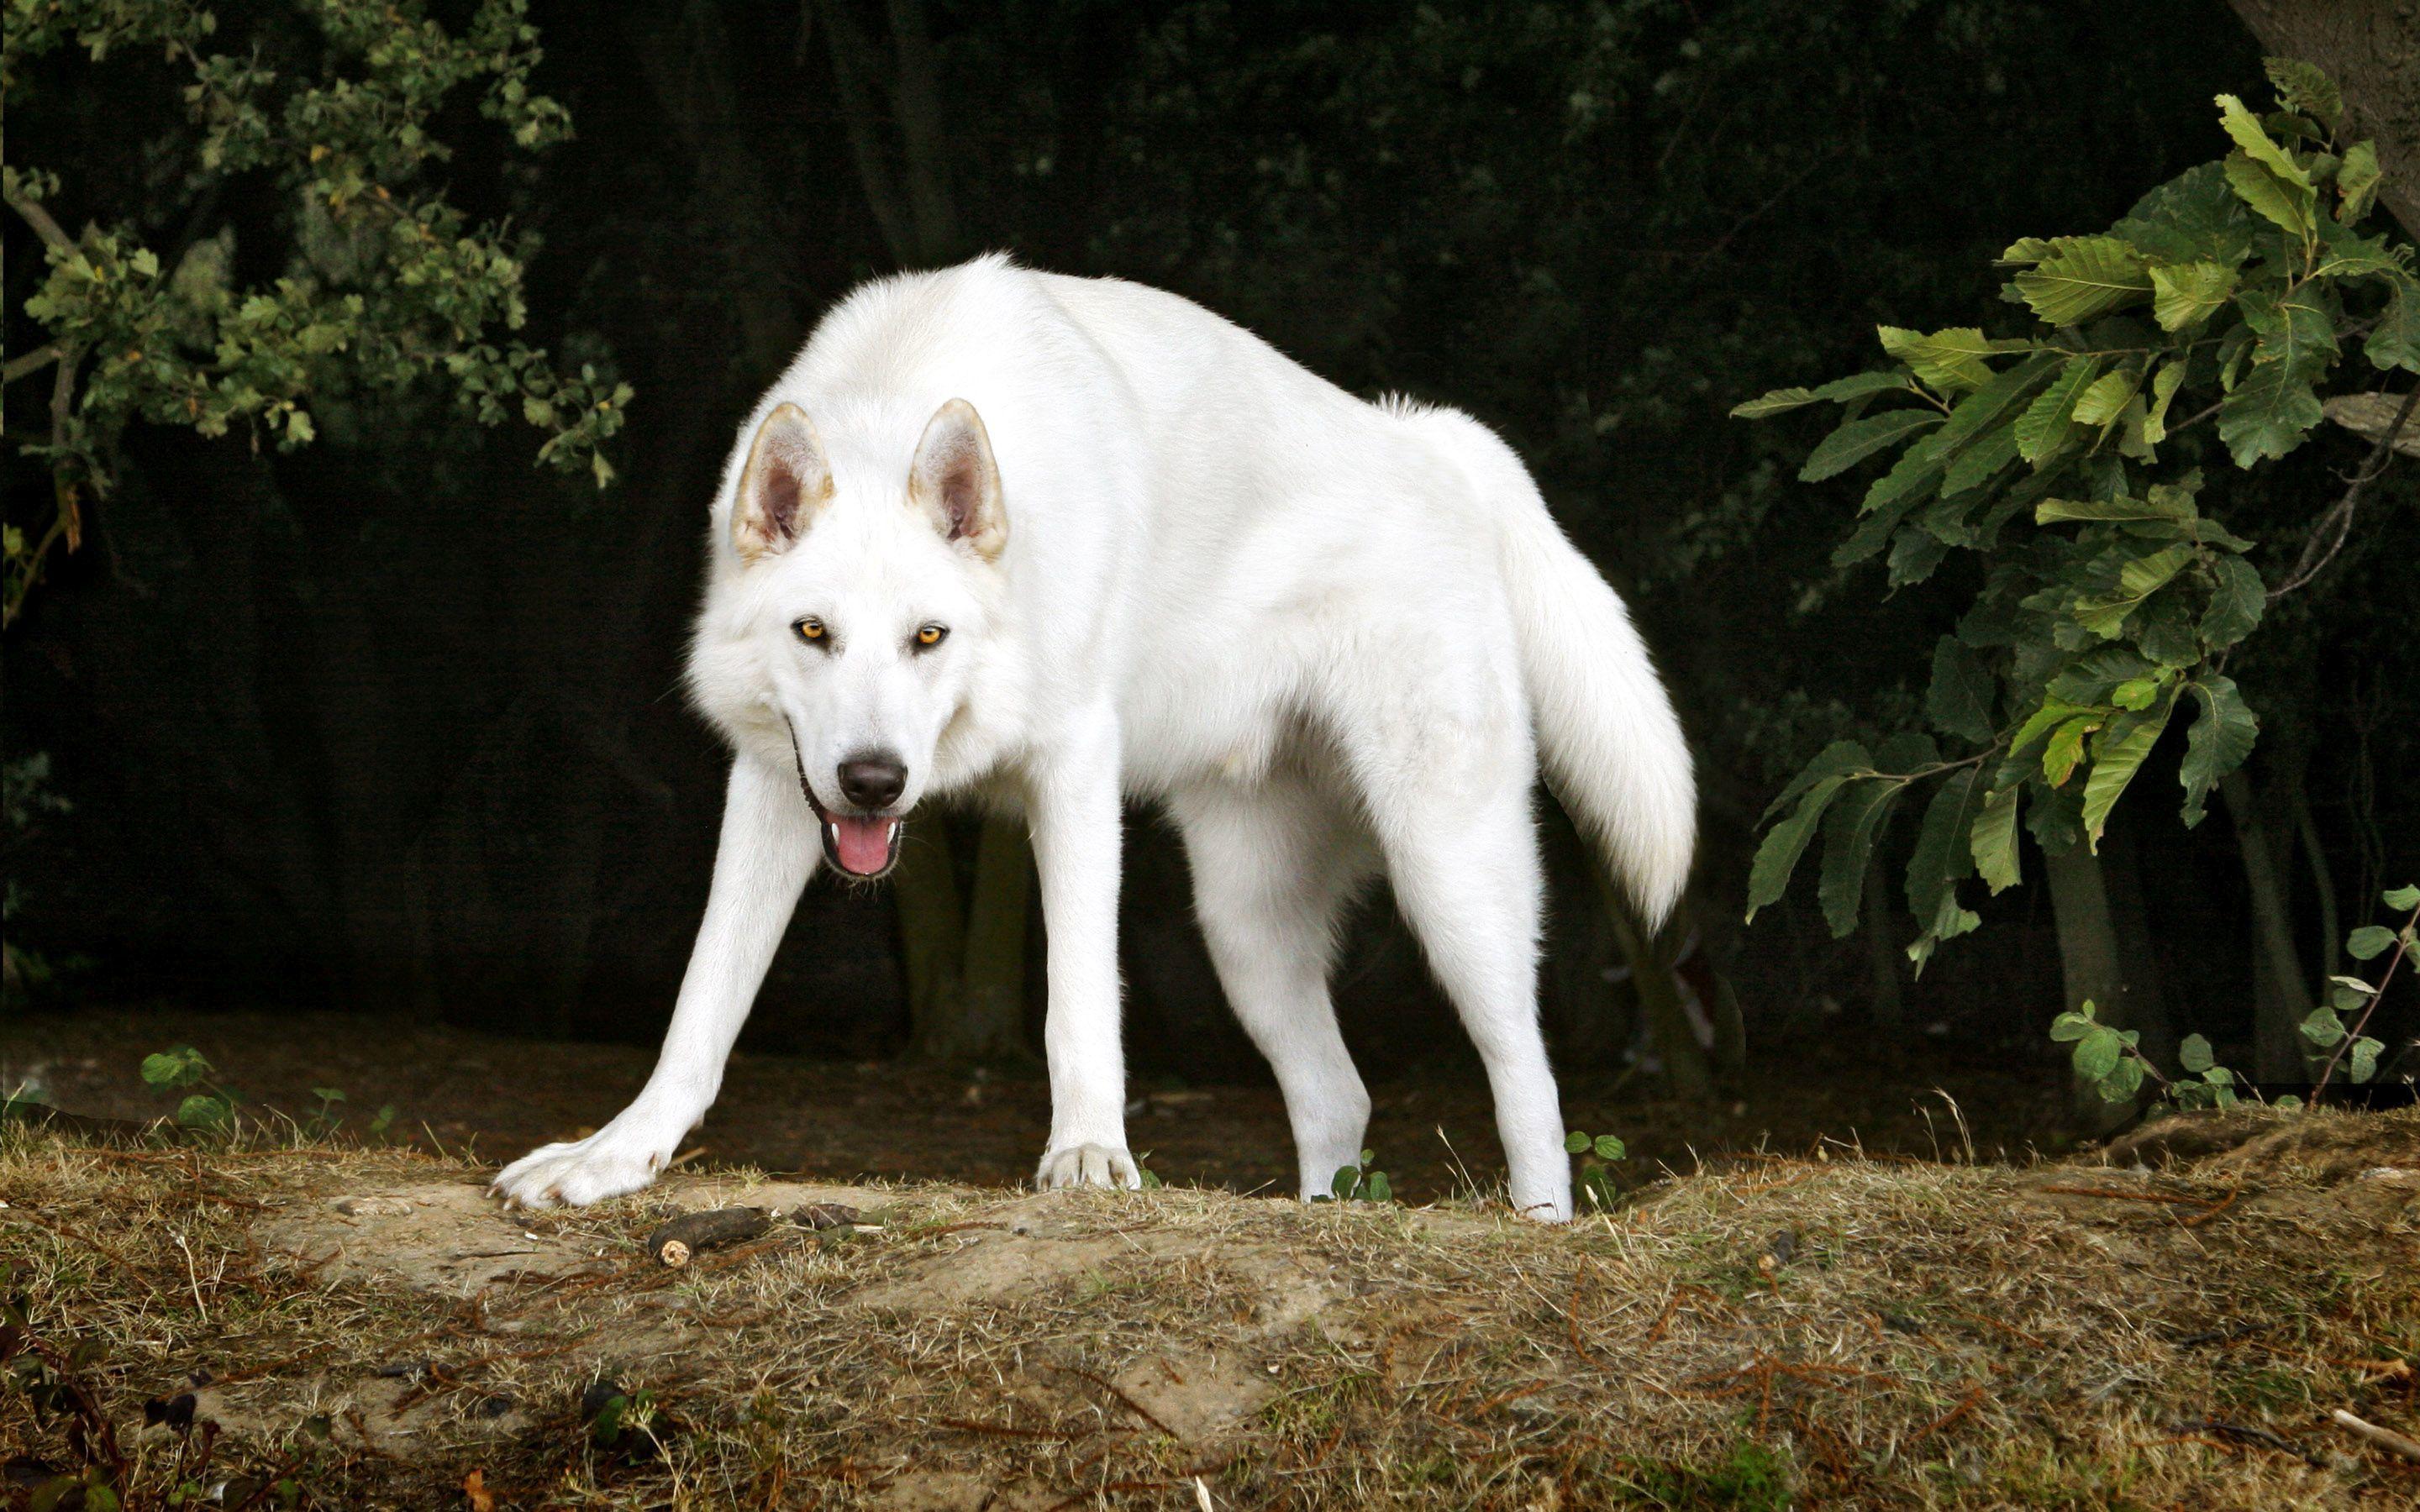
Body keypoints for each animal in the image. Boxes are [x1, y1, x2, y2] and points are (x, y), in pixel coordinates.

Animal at [491, 255, 1694, 1221]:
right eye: (813, 632)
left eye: (928, 637)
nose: (876, 782)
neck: (900, 394)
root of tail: (1434, 439)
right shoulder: (776, 784)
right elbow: (702, 1005)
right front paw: (613, 1157)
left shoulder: (1072, 769)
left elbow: (1077, 1002)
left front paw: (1087, 1160)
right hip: (1246, 932)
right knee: (1338, 1097)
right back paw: (1323, 1220)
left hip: (1450, 885)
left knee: (1530, 1082)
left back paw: (1538, 1227)